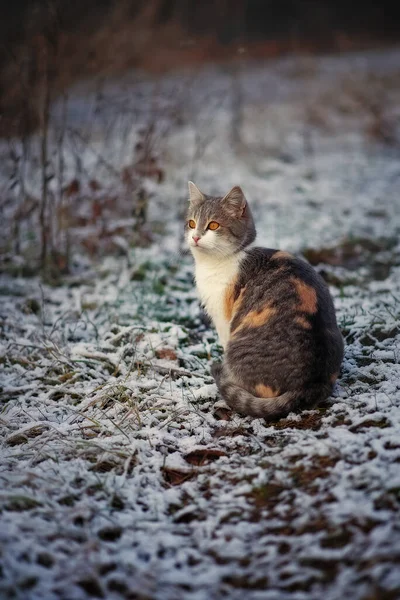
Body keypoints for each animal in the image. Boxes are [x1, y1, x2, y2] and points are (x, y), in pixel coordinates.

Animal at [185, 180, 344, 420]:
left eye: (213, 225)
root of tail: (309, 383)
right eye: (192, 223)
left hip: (237, 343)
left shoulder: (223, 319)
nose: (195, 237)